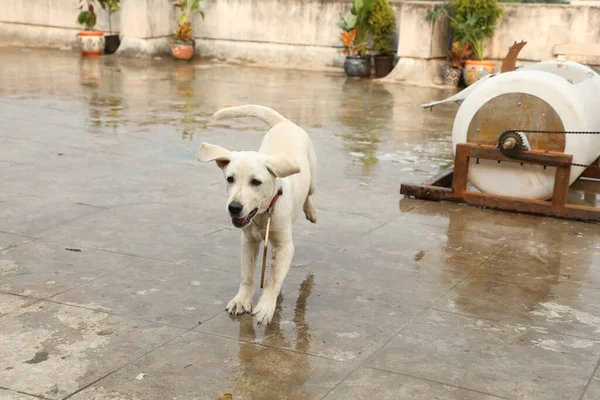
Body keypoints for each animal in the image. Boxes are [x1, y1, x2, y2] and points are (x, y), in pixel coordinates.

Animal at [198, 105, 318, 324]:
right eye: (230, 179)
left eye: (256, 182)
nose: (234, 207)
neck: (264, 214)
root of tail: (284, 122)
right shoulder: (248, 241)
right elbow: (247, 275)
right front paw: (241, 300)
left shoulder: (286, 247)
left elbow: (274, 279)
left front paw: (265, 307)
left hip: (312, 178)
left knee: (309, 194)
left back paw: (311, 212)